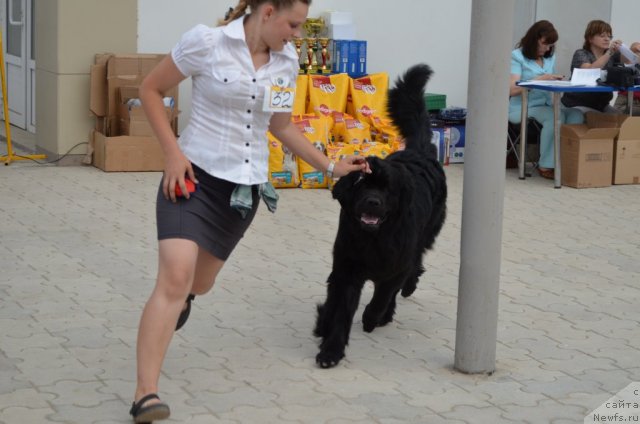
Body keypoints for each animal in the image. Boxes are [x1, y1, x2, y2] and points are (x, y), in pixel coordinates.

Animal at [314, 63, 444, 368]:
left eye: (387, 189)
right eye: (361, 184)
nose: (372, 202)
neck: (374, 240)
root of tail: (419, 152)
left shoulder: (396, 264)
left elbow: (384, 293)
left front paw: (372, 317)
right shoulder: (347, 269)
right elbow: (340, 311)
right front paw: (331, 350)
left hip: (426, 232)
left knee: (415, 265)